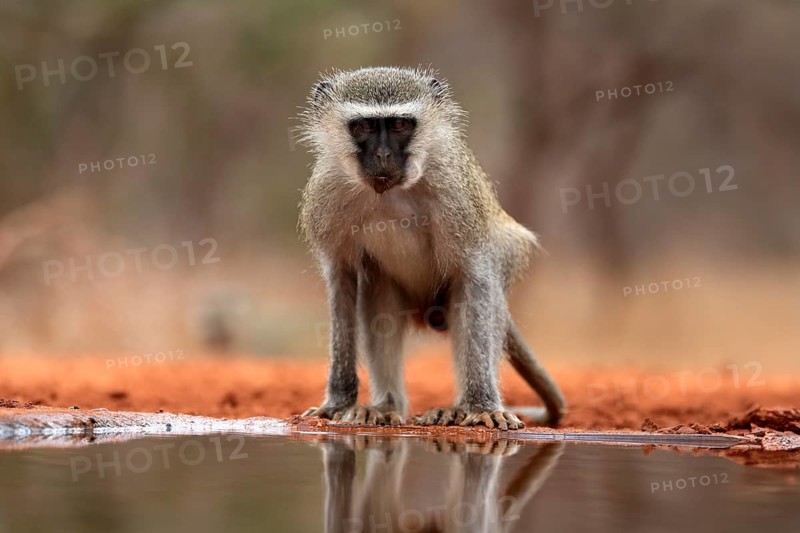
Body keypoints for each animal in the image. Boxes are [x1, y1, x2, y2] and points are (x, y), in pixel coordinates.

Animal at [298, 66, 566, 429]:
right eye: (363, 126)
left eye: (399, 125)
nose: (383, 156)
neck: (390, 194)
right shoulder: (327, 193)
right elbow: (342, 281)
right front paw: (338, 402)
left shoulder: (455, 193)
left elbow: (477, 278)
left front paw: (481, 406)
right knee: (378, 294)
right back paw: (386, 406)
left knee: (480, 298)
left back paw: (458, 407)